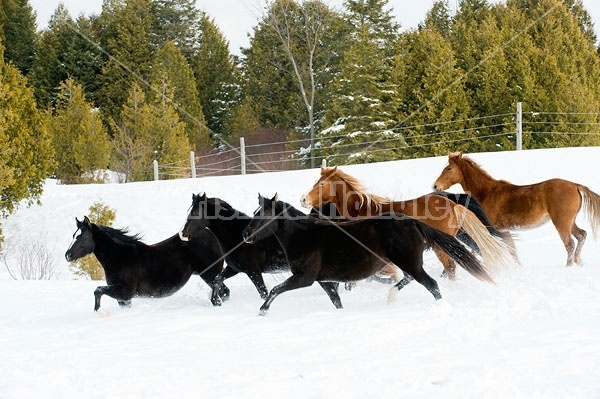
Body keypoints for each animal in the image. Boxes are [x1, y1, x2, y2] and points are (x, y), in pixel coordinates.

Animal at [63, 216, 227, 312]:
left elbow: (97, 290)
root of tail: (210, 234)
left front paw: (99, 311)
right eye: (73, 235)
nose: (67, 255)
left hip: (210, 274)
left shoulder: (125, 291)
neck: (120, 256)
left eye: (82, 237)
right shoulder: (124, 299)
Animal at [241, 195, 494, 318]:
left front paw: (262, 311)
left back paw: (440, 307)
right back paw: (391, 296)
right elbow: (336, 301)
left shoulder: (305, 278)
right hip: (407, 262)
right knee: (412, 279)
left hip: (408, 261)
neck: (304, 236)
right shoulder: (325, 281)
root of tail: (412, 221)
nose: (245, 234)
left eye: (263, 215)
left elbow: (275, 290)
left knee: (431, 284)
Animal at [300, 166, 510, 278]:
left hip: (441, 245)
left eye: (320, 183)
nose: (303, 199)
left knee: (451, 267)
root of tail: (452, 203)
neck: (362, 210)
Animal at [434, 152, 596, 268]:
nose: (435, 186)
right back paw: (579, 263)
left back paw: (569, 266)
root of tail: (575, 185)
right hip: (570, 222)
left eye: (449, 168)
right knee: (581, 235)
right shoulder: (504, 230)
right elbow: (512, 251)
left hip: (561, 223)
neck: (487, 193)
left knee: (570, 244)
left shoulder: (494, 230)